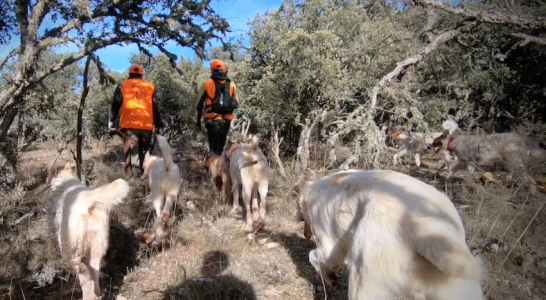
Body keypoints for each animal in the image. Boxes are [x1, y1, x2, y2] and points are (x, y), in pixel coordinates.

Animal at [46, 162, 130, 300]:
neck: (65, 178)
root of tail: (88, 200)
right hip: (97, 248)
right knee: (94, 272)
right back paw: (98, 295)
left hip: (71, 251)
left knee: (85, 276)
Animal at [296, 170, 482, 298]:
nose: (305, 234)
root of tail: (421, 227)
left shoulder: (331, 248)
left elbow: (314, 257)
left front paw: (330, 278)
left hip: (364, 281)